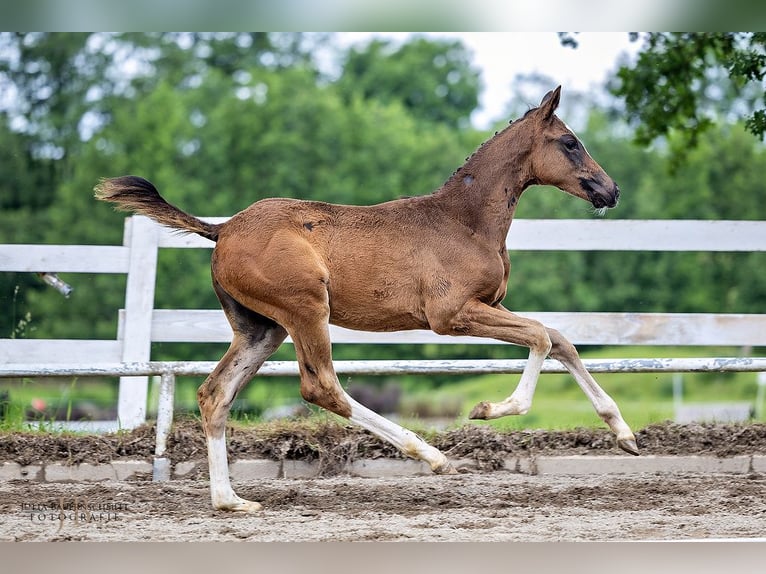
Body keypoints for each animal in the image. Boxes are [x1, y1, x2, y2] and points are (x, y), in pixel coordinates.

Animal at [96, 86, 640, 512]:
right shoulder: (451, 315)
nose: (611, 190)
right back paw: (432, 456)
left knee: (216, 394)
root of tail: (222, 228)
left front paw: (625, 434)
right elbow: (541, 338)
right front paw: (488, 409)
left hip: (260, 329)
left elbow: (559, 338)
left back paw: (231, 500)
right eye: (570, 142)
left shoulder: (490, 305)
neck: (465, 221)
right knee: (321, 388)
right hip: (306, 310)